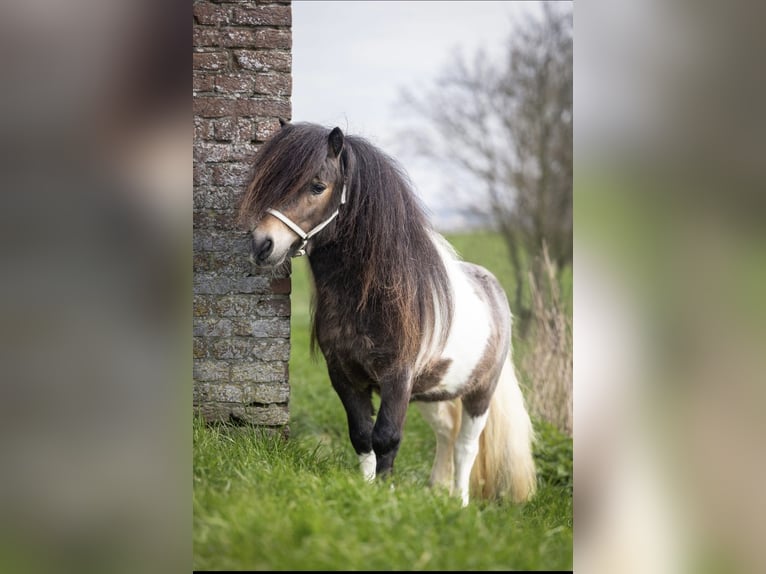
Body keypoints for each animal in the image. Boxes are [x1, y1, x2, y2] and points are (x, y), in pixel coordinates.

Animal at [238, 121, 537, 506]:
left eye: (318, 186)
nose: (263, 245)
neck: (373, 299)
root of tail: (494, 292)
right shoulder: (345, 376)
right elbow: (362, 435)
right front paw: (366, 491)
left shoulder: (398, 378)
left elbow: (387, 437)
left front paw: (385, 496)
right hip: (432, 391)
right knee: (446, 433)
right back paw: (436, 489)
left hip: (479, 393)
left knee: (466, 446)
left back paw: (459, 502)